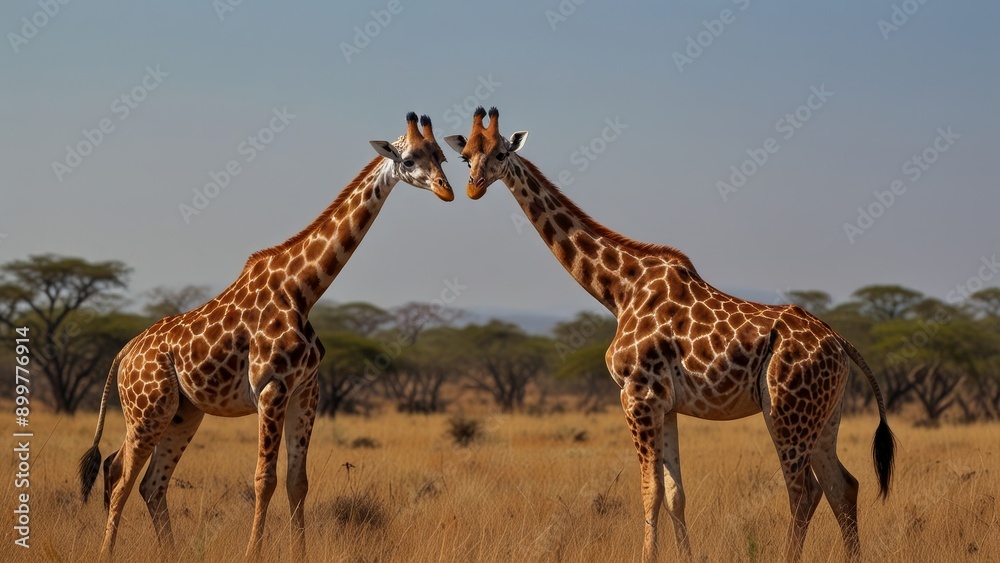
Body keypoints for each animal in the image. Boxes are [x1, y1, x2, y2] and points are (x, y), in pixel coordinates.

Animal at [78, 112, 454, 558]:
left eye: (442, 156)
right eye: (410, 159)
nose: (447, 190)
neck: (303, 289)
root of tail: (124, 352)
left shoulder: (306, 391)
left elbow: (298, 481)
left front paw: (300, 555)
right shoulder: (272, 388)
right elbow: (265, 479)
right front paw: (252, 553)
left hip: (183, 412)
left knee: (148, 481)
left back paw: (171, 553)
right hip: (148, 408)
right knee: (121, 475)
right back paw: (106, 552)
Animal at [445, 107, 896, 562]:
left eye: (501, 153)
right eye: (465, 157)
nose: (473, 188)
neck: (620, 290)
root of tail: (839, 342)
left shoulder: (638, 395)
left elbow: (651, 490)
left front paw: (648, 555)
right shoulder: (668, 404)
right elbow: (676, 493)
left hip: (787, 411)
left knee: (804, 493)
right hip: (825, 415)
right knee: (844, 486)